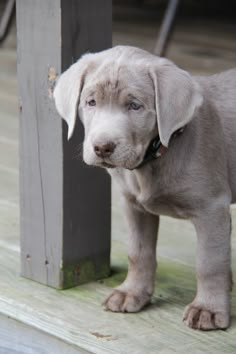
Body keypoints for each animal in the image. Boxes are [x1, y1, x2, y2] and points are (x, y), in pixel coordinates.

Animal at [54, 45, 235, 330]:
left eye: (135, 106)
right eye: (91, 102)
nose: (102, 147)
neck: (154, 158)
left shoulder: (212, 209)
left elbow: (210, 261)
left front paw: (207, 309)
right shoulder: (133, 205)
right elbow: (138, 252)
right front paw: (132, 293)